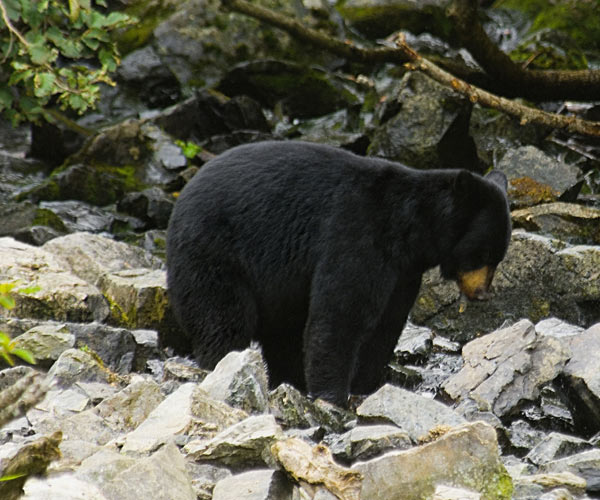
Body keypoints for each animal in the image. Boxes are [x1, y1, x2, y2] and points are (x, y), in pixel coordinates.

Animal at [168, 141, 510, 406]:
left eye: (498, 257)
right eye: (482, 254)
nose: (483, 293)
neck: (409, 227)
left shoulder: (403, 271)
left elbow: (386, 323)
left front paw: (366, 386)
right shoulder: (357, 231)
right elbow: (342, 313)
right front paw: (332, 396)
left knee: (283, 334)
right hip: (213, 254)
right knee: (223, 319)